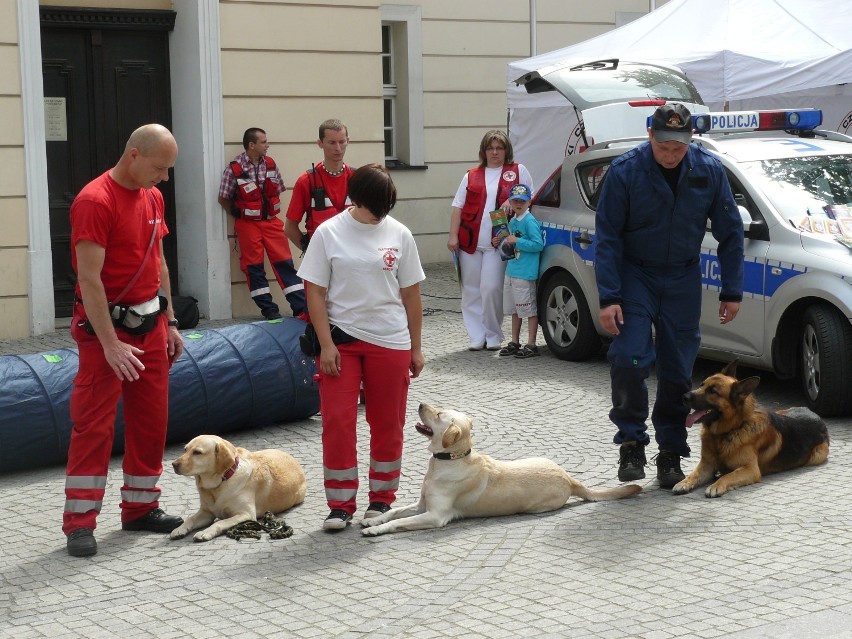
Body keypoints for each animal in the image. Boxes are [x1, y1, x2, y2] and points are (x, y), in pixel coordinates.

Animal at [676, 362, 828, 498]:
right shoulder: (707, 465)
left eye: (713, 391)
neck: (731, 429)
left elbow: (729, 475)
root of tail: (816, 416)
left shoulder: (750, 469)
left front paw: (716, 485)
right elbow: (694, 474)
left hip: (817, 455)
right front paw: (684, 482)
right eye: (702, 384)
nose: (684, 396)